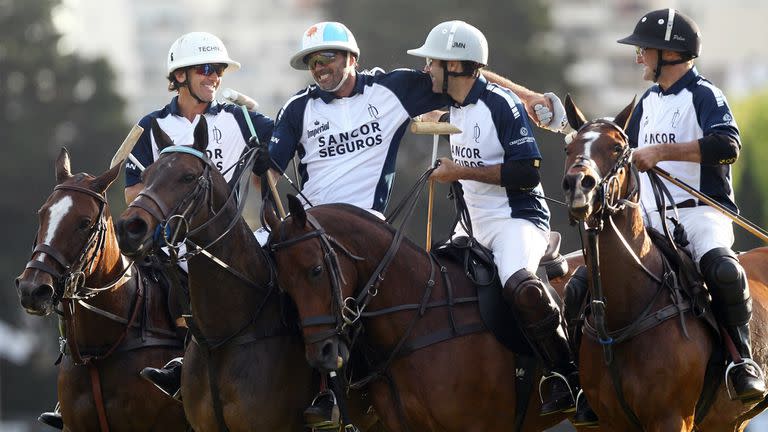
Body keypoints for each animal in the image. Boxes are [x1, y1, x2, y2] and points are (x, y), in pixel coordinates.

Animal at [264, 193, 588, 432]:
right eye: (283, 287)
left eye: (316, 270)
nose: (322, 354)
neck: (420, 317)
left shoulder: (478, 426)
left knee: (527, 291)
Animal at [560, 95, 768, 432]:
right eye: (569, 148)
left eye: (616, 147)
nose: (579, 185)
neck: (623, 315)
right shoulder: (608, 422)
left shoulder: (672, 417)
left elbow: (726, 141)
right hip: (729, 418)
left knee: (723, 269)